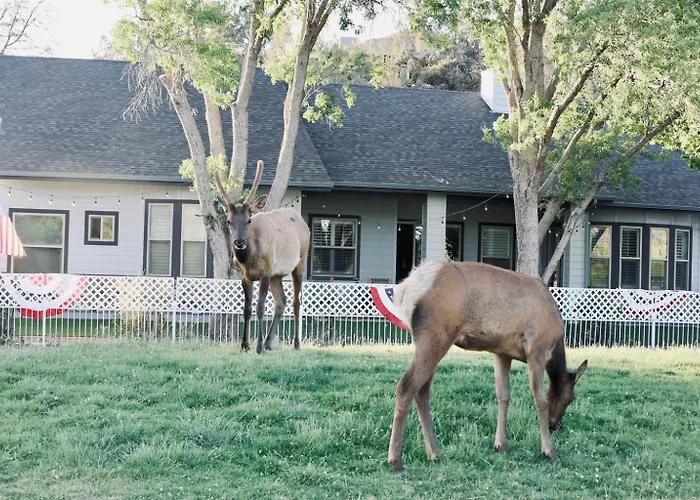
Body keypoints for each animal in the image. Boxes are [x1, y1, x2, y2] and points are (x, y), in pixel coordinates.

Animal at [214, 160, 310, 354]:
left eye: (249, 220)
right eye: (228, 221)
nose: (239, 242)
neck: (249, 260)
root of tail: (302, 221)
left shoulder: (265, 272)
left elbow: (260, 308)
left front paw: (257, 346)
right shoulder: (245, 276)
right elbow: (247, 309)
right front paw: (244, 345)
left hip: (300, 261)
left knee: (296, 302)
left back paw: (295, 344)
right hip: (276, 275)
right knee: (281, 301)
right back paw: (269, 342)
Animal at [386, 260, 587, 474]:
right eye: (571, 398)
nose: (555, 425)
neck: (555, 345)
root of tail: (406, 288)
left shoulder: (502, 352)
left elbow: (503, 395)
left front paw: (500, 444)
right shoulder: (537, 349)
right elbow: (540, 400)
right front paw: (549, 451)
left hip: (432, 342)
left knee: (422, 390)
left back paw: (434, 453)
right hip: (435, 337)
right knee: (406, 386)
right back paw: (397, 461)